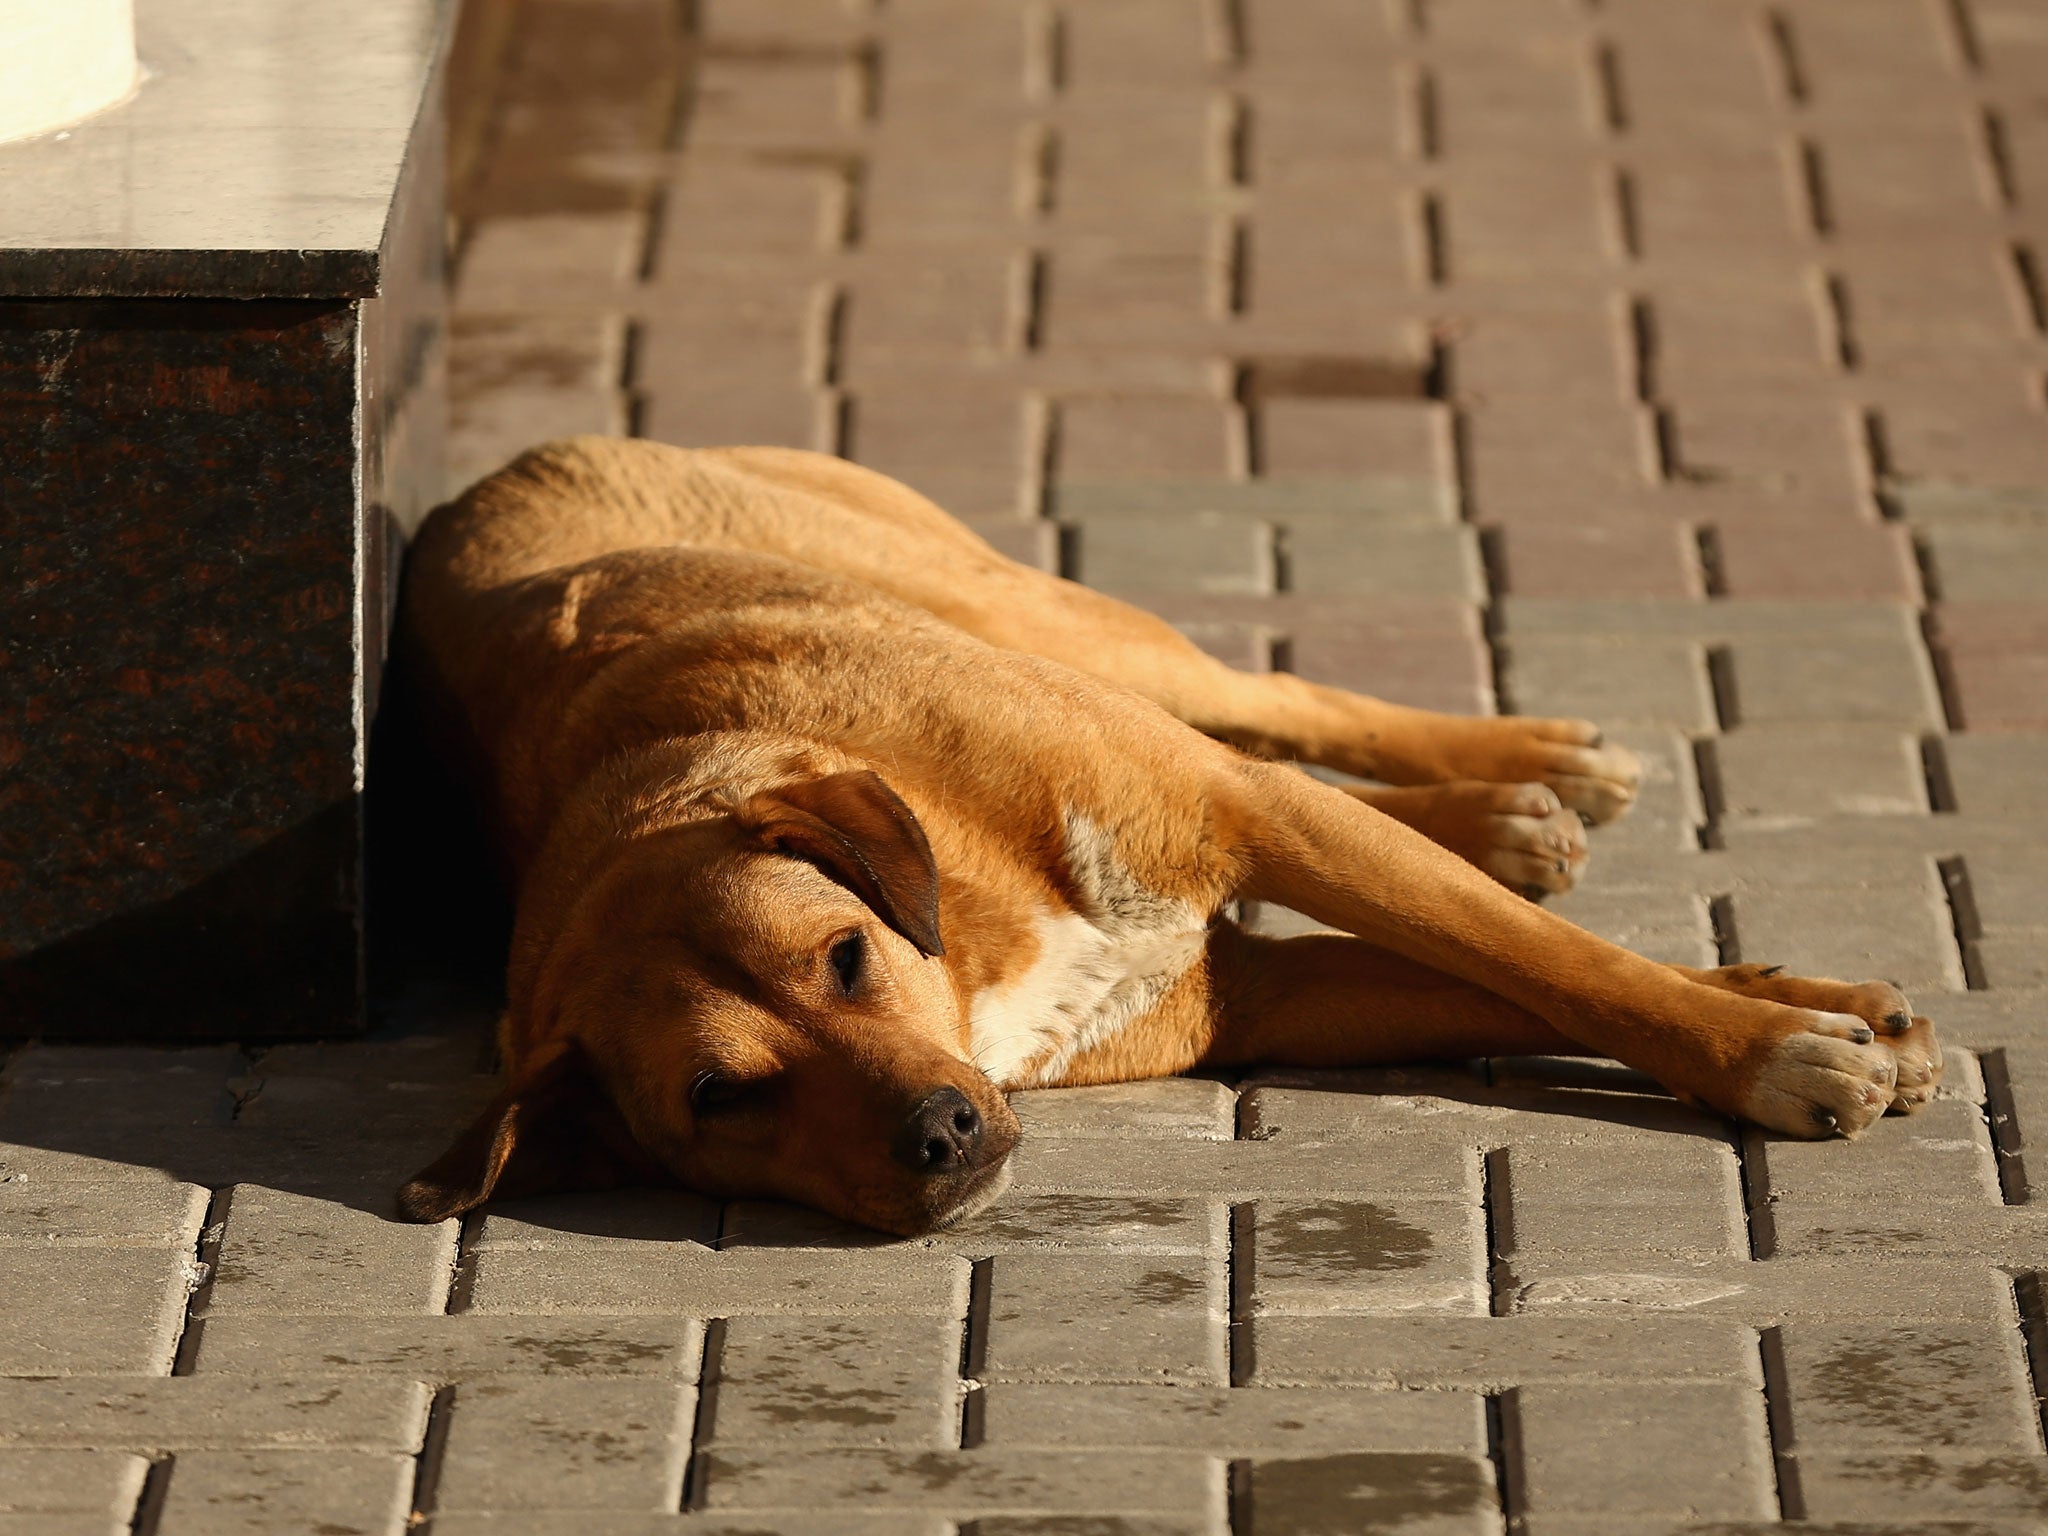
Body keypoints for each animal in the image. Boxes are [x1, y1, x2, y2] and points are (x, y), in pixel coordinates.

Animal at [391, 436, 1941, 1236]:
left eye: (842, 956)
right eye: (720, 1098)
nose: (941, 1132)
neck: (973, 936)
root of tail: (492, 474)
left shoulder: (1252, 823)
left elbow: (1565, 966)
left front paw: (1770, 1042)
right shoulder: (1251, 995)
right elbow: (1515, 981)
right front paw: (1809, 1012)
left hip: (1038, 615)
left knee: (1268, 705)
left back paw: (1528, 765)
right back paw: (1509, 815)